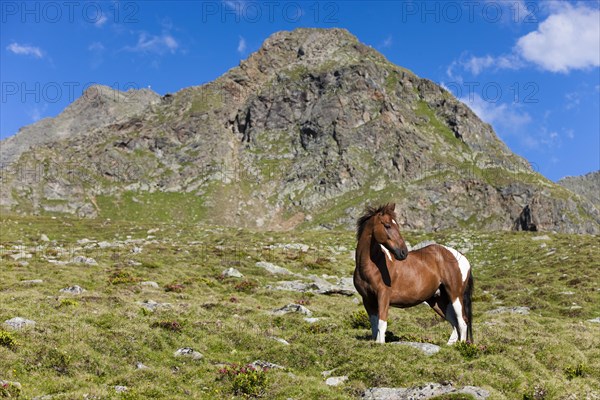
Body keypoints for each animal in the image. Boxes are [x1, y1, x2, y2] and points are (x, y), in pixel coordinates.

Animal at [352, 203, 474, 344]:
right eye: (387, 225)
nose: (403, 252)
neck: (372, 266)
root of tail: (462, 258)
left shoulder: (383, 296)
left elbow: (382, 324)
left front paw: (380, 344)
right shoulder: (367, 300)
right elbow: (374, 324)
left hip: (455, 295)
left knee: (462, 322)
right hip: (438, 300)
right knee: (454, 323)